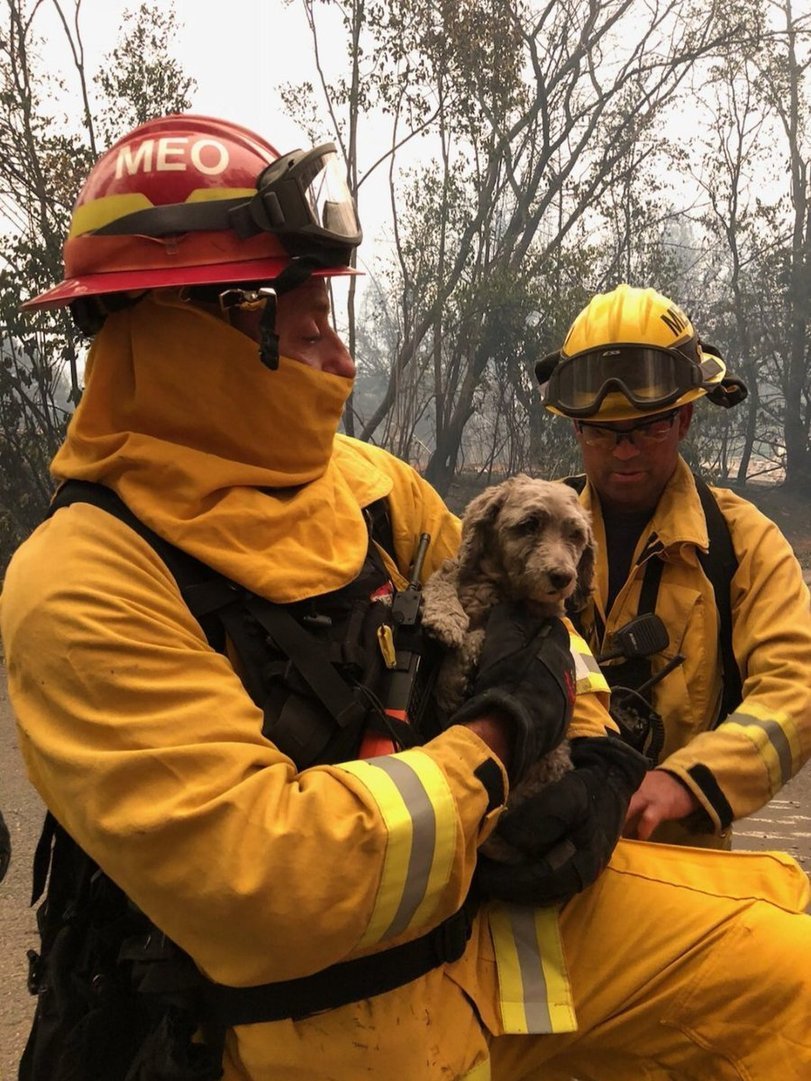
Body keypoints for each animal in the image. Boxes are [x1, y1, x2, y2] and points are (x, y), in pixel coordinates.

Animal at [426, 473, 596, 860]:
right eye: (529, 524)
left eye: (575, 535)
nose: (562, 577)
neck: (499, 588)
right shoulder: (457, 573)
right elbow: (442, 578)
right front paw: (445, 617)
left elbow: (476, 639)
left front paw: (450, 681)